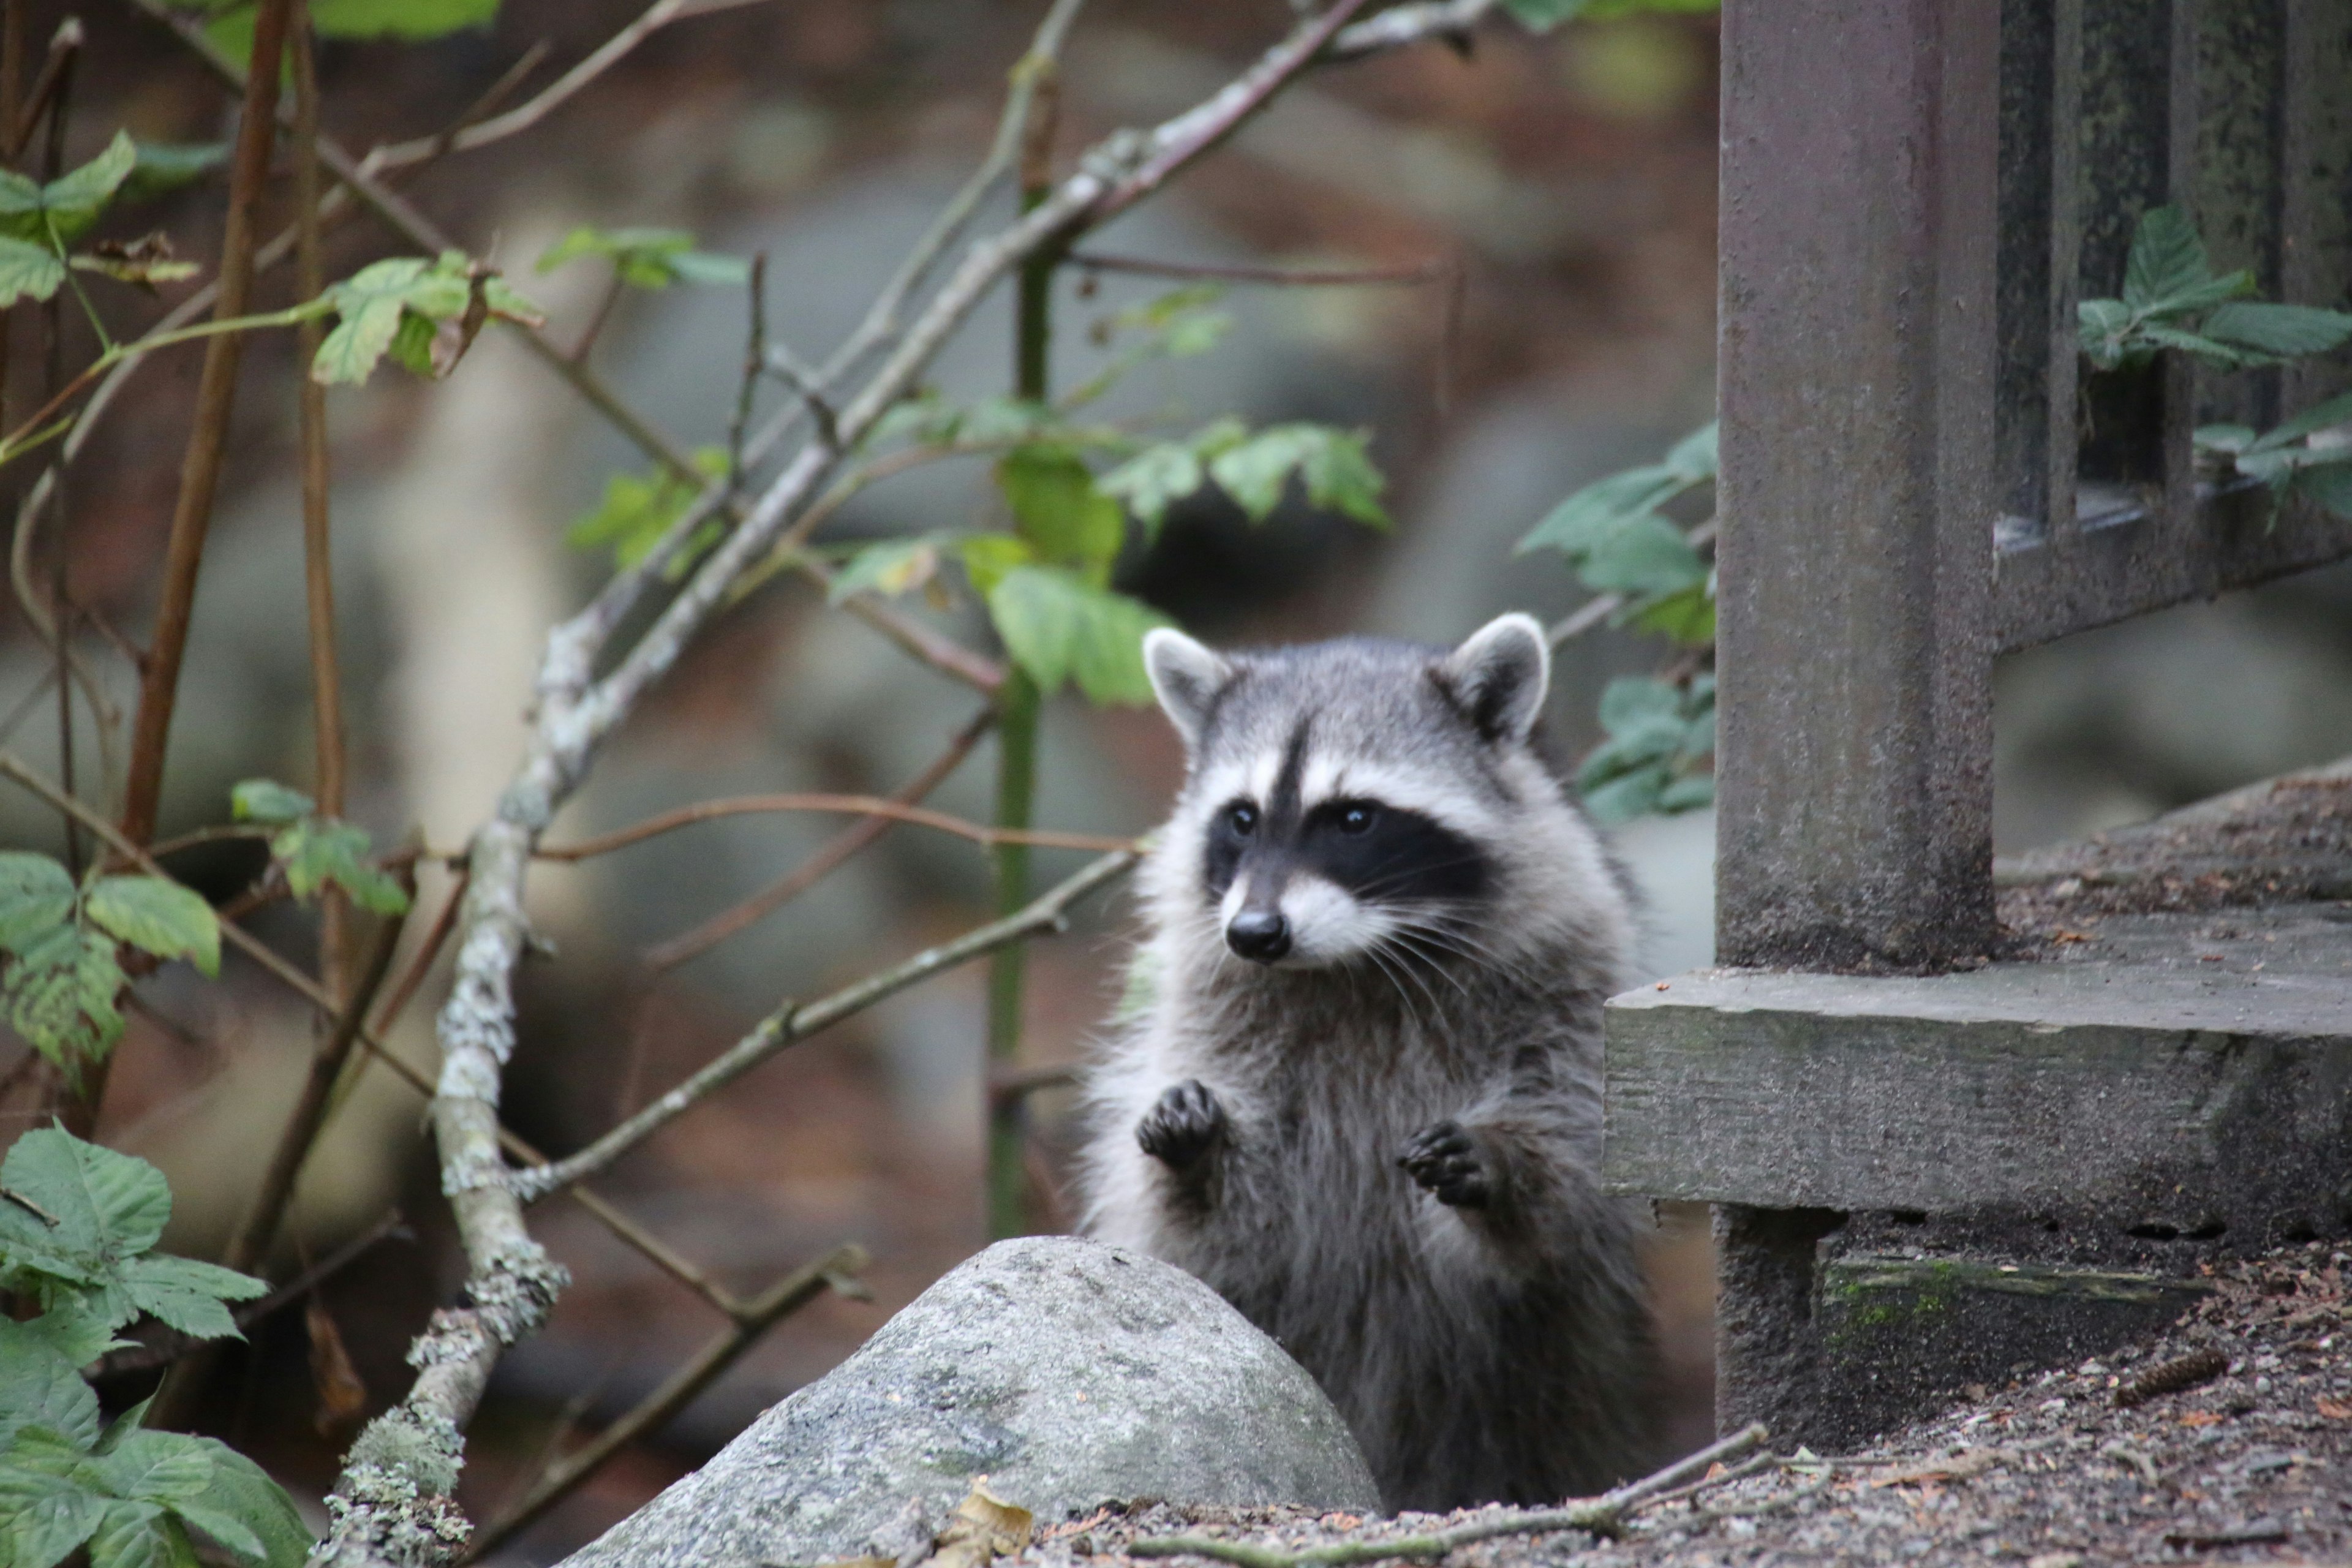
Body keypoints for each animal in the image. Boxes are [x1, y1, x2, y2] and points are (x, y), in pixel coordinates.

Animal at [1078, 613, 1658, 1511]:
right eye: (1241, 819)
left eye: (1354, 819)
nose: (1255, 934)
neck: (1355, 961)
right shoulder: (1213, 1009)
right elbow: (1220, 1230)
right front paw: (1199, 1152)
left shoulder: (1568, 982)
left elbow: (1564, 1178)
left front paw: (1506, 1163)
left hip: (1549, 1381)